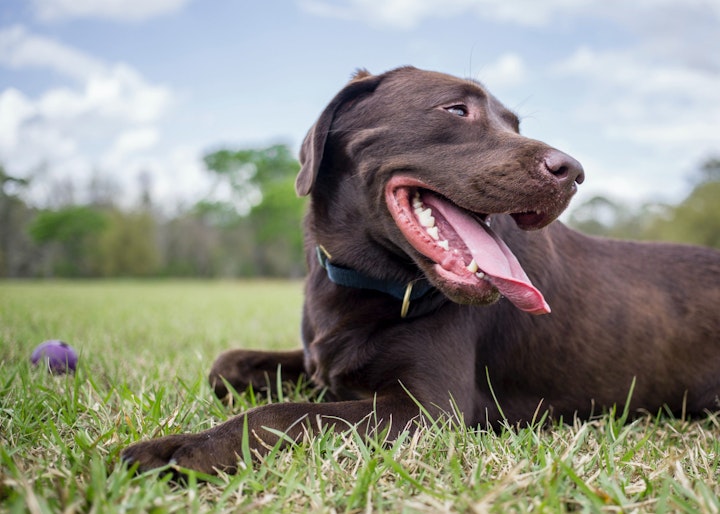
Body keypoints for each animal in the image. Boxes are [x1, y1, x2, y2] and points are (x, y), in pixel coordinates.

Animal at [124, 66, 720, 474]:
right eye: (455, 110)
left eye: (514, 124)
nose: (572, 171)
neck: (369, 281)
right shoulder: (322, 361)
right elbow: (227, 364)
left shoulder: (427, 410)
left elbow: (282, 415)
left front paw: (177, 450)